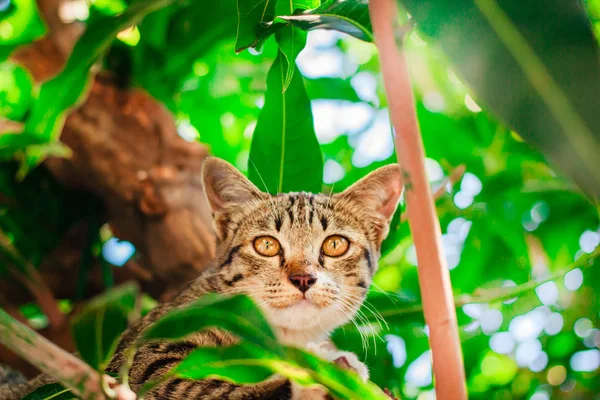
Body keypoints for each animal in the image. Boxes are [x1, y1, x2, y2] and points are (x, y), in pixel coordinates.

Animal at [2, 158, 404, 398]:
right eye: (266, 245)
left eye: (335, 244)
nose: (303, 278)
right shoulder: (142, 359)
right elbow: (207, 388)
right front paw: (310, 381)